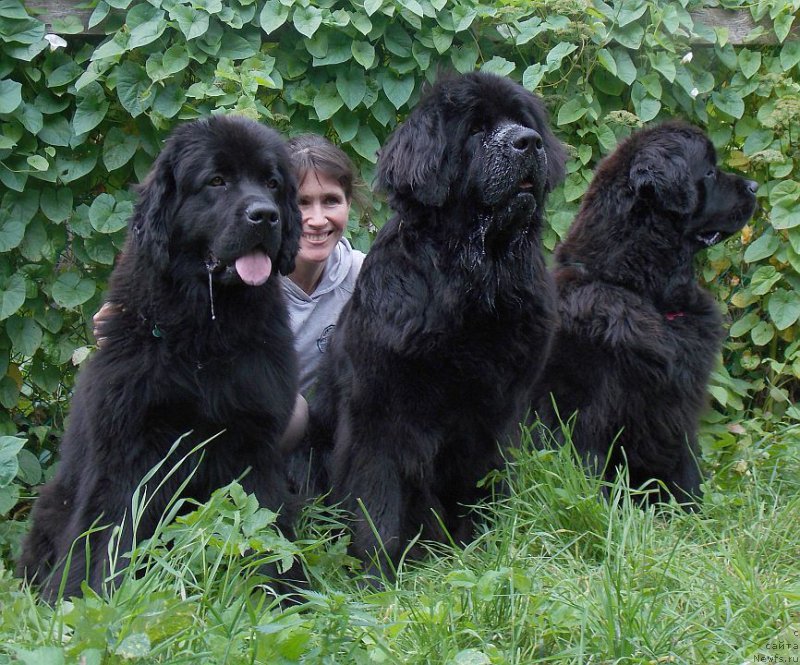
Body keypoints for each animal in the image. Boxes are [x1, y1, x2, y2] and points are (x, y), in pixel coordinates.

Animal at [18, 116, 302, 600]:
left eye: (272, 182)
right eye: (216, 181)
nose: (266, 215)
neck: (205, 335)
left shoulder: (253, 441)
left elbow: (261, 524)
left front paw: (275, 596)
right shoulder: (129, 447)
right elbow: (113, 528)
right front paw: (95, 595)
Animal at [310, 71, 564, 572]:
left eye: (524, 122)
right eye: (476, 131)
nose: (528, 142)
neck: (476, 284)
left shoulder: (497, 414)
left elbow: (487, 486)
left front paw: (486, 552)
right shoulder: (379, 415)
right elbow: (378, 504)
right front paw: (376, 577)